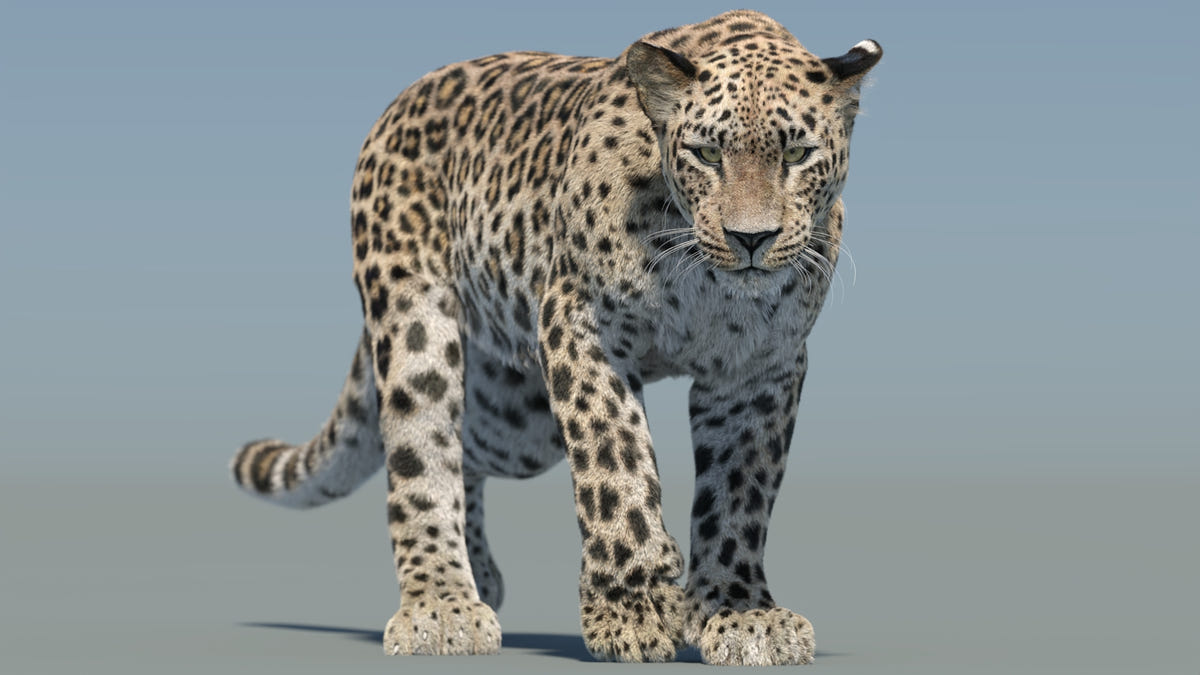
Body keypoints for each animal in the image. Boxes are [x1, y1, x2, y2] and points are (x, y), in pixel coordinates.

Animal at [231, 9, 880, 666]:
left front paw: (740, 612)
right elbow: (615, 462)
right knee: (422, 452)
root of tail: (399, 103)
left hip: (516, 415)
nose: (751, 238)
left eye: (797, 153)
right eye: (705, 154)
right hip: (417, 323)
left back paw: (480, 577)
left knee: (467, 452)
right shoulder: (581, 323)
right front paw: (632, 608)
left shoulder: (759, 367)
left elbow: (739, 492)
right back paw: (442, 605)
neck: (703, 280)